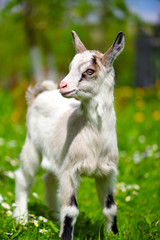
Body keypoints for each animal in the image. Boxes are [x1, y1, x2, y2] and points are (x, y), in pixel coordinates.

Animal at [13, 31, 125, 239]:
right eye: (70, 67)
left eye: (89, 71)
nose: (63, 85)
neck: (94, 136)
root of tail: (39, 93)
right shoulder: (70, 170)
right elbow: (71, 209)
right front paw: (66, 235)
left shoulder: (107, 172)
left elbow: (110, 208)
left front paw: (113, 234)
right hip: (32, 145)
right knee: (24, 178)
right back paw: (21, 219)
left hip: (55, 154)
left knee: (48, 179)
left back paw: (53, 215)